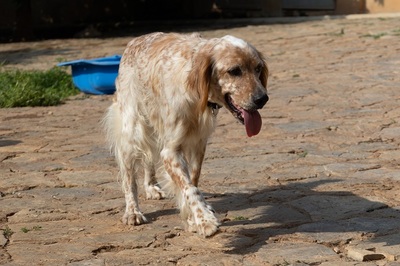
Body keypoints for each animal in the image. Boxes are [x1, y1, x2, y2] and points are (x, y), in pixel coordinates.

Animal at [104, 31, 270, 237]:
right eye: (234, 71)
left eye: (258, 68)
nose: (262, 98)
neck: (196, 91)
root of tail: (135, 40)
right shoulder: (171, 151)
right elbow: (189, 188)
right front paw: (205, 220)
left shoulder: (198, 143)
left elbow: (192, 181)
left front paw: (192, 218)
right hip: (132, 130)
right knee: (129, 178)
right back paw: (132, 211)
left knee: (148, 158)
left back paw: (151, 187)